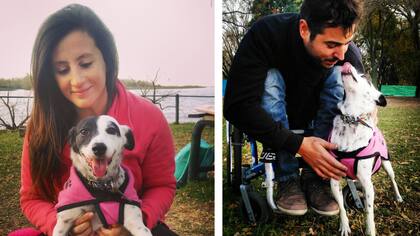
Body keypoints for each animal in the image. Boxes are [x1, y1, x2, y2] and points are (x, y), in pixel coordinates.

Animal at [328, 62, 404, 236]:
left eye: (366, 79)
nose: (346, 62)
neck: (350, 119)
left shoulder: (368, 184)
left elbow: (369, 212)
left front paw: (370, 230)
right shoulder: (334, 180)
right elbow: (341, 207)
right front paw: (344, 225)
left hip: (386, 163)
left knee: (393, 179)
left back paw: (398, 197)